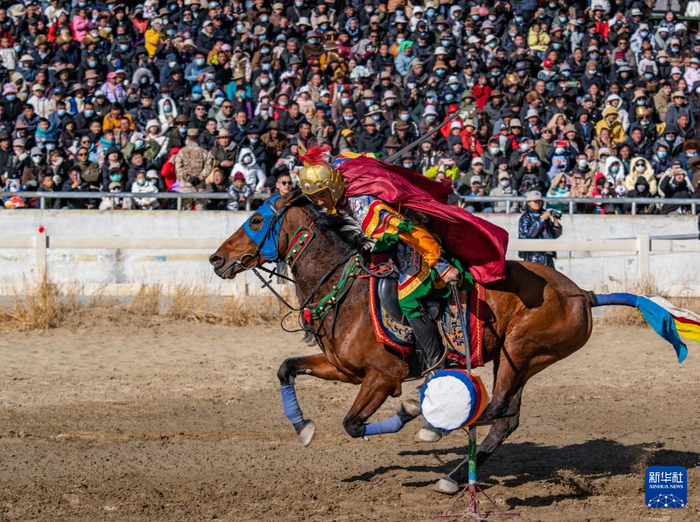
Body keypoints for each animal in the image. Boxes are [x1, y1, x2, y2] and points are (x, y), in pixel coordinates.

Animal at [209, 191, 694, 494]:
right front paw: (303, 427)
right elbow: (286, 367)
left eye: (256, 219)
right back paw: (452, 476)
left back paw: (433, 426)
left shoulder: (382, 377)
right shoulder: (344, 370)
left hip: (520, 353)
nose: (217, 259)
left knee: (495, 408)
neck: (345, 289)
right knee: (505, 419)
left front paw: (410, 414)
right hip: (519, 361)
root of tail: (583, 294)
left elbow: (353, 424)